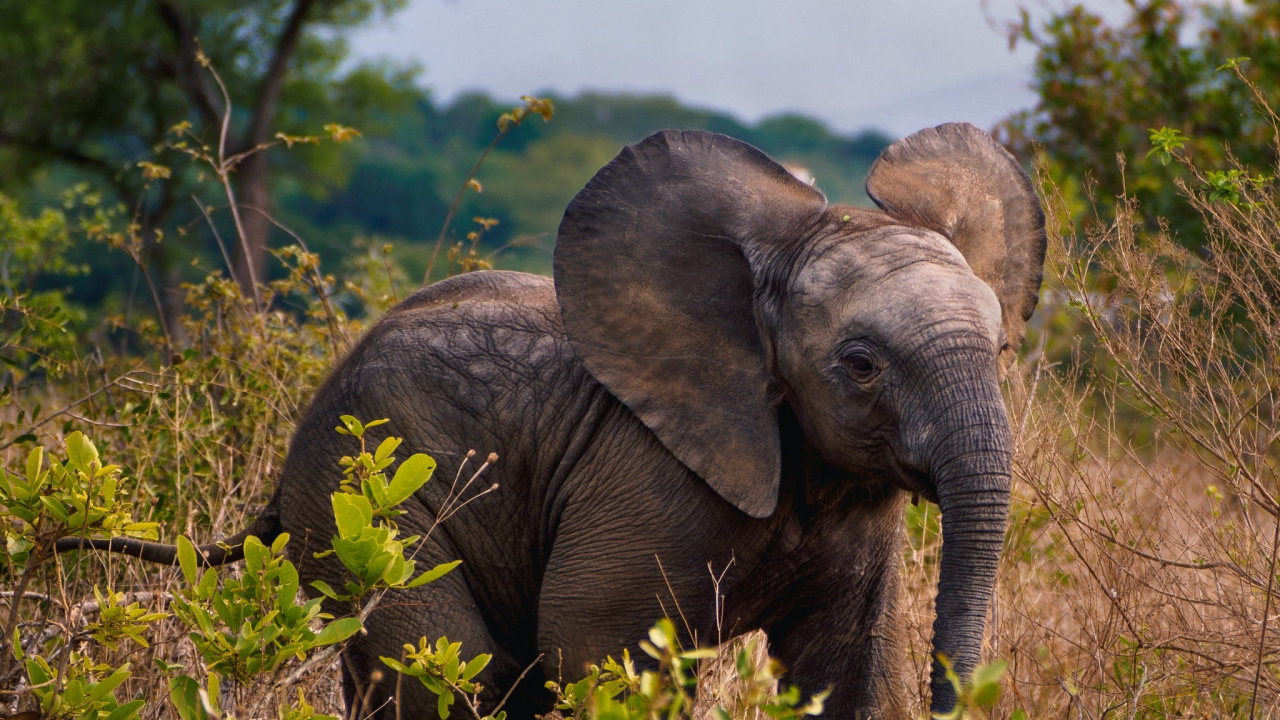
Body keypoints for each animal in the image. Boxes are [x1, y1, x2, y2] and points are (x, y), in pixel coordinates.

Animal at [61, 122, 1046, 719]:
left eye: (1001, 348)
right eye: (861, 365)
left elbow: (853, 669)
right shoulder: (645, 476)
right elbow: (597, 650)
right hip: (358, 503)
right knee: (453, 671)